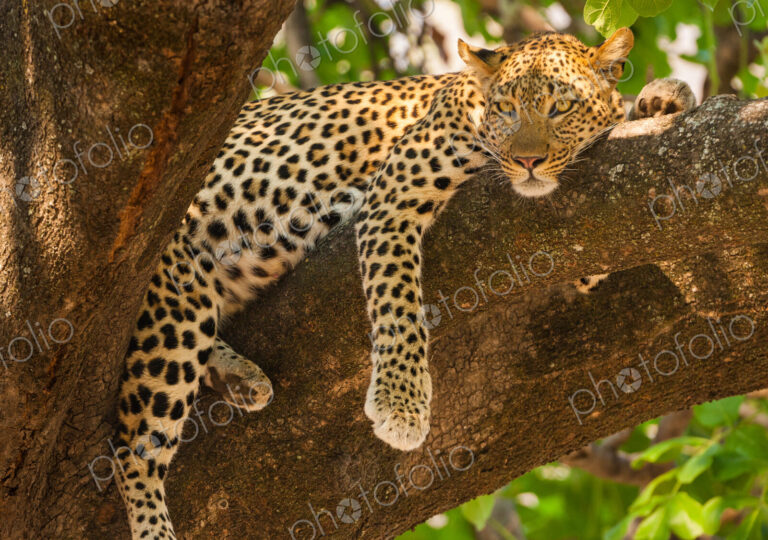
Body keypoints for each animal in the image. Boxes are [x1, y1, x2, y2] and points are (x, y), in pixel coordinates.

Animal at [113, 27, 696, 539]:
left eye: (560, 108)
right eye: (507, 110)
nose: (528, 161)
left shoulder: (594, 238)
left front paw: (663, 100)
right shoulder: (392, 198)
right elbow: (398, 304)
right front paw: (400, 405)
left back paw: (239, 377)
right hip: (173, 291)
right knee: (130, 446)